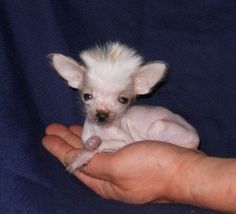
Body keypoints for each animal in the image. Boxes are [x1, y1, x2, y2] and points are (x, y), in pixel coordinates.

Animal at [49, 41, 199, 172]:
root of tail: (196, 138)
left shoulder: (126, 142)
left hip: (158, 127)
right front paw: (86, 151)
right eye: (86, 96)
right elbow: (88, 144)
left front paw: (86, 153)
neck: (103, 130)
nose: (101, 115)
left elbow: (102, 145)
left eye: (124, 100)